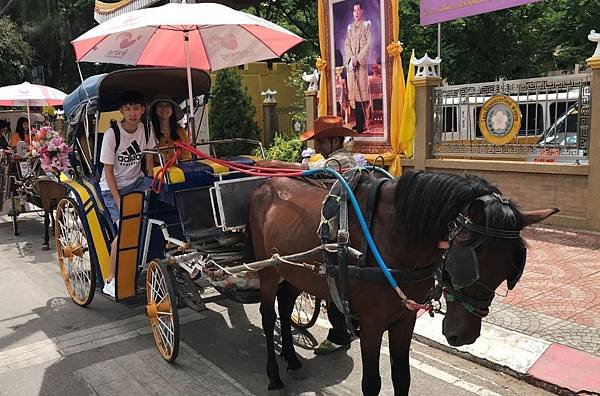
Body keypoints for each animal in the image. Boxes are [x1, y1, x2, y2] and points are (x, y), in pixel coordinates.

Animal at [248, 171, 556, 396]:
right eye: (468, 264)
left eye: (509, 273)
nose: (464, 335)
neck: (392, 236)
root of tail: (267, 183)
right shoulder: (371, 325)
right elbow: (372, 384)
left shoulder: (405, 320)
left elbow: (402, 377)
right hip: (268, 270)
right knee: (268, 315)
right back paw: (274, 374)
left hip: (293, 272)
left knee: (285, 307)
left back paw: (292, 359)